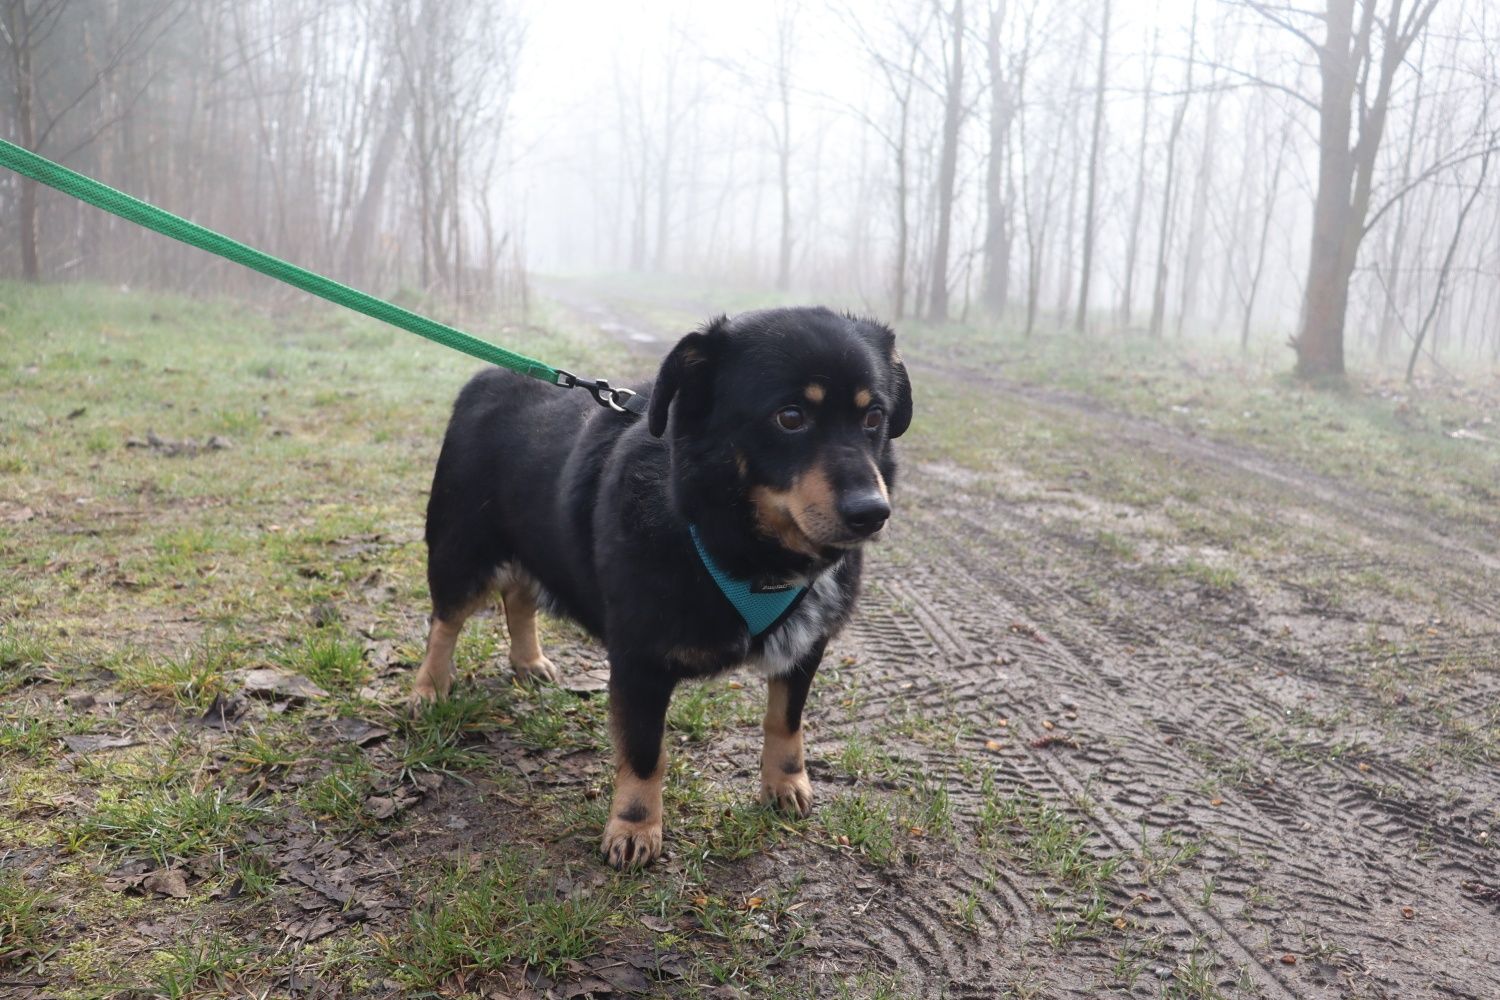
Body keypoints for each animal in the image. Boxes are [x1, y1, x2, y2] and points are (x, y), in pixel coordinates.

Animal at [405, 305, 906, 869]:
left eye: (874, 417)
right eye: (791, 417)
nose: (872, 512)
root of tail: (488, 377)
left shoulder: (806, 644)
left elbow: (786, 720)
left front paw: (784, 782)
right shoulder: (638, 662)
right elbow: (645, 752)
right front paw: (635, 826)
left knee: (519, 596)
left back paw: (529, 661)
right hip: (460, 548)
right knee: (445, 621)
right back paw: (430, 687)